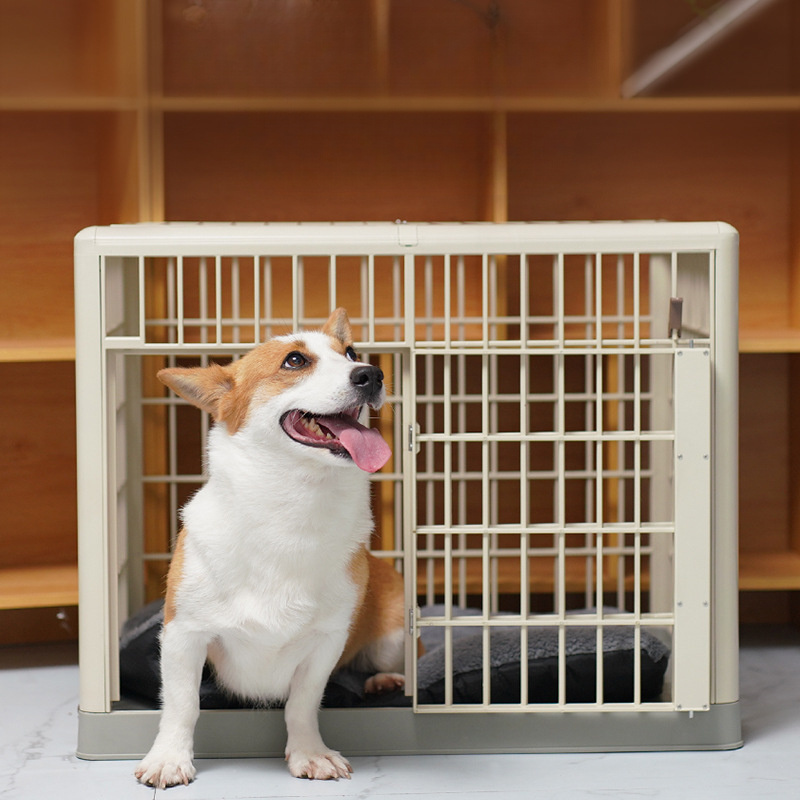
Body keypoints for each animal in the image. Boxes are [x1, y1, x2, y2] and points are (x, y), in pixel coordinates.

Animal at [136, 308, 406, 788]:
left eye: (351, 352)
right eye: (294, 361)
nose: (371, 373)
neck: (294, 508)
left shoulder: (325, 644)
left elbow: (303, 704)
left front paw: (309, 754)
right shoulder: (184, 635)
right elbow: (183, 704)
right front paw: (169, 758)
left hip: (394, 635)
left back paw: (385, 680)